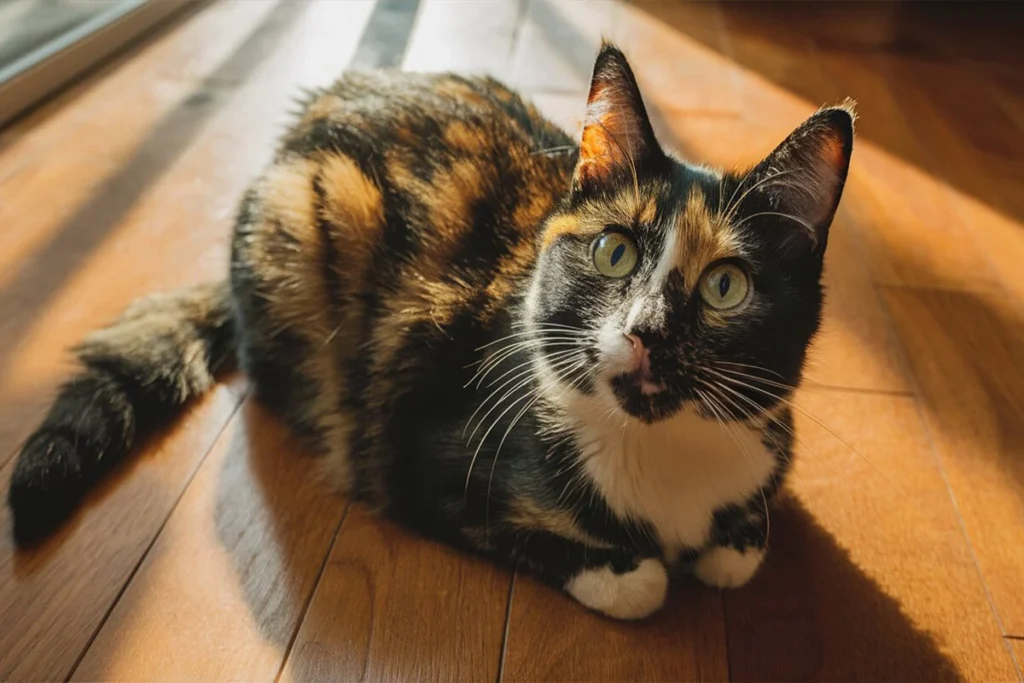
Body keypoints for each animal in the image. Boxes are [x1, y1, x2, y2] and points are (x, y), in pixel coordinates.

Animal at [9, 41, 856, 618]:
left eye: (725, 285)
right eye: (613, 250)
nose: (647, 329)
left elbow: (742, 547)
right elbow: (609, 569)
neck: (662, 453)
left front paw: (729, 543)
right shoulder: (421, 451)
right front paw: (632, 570)